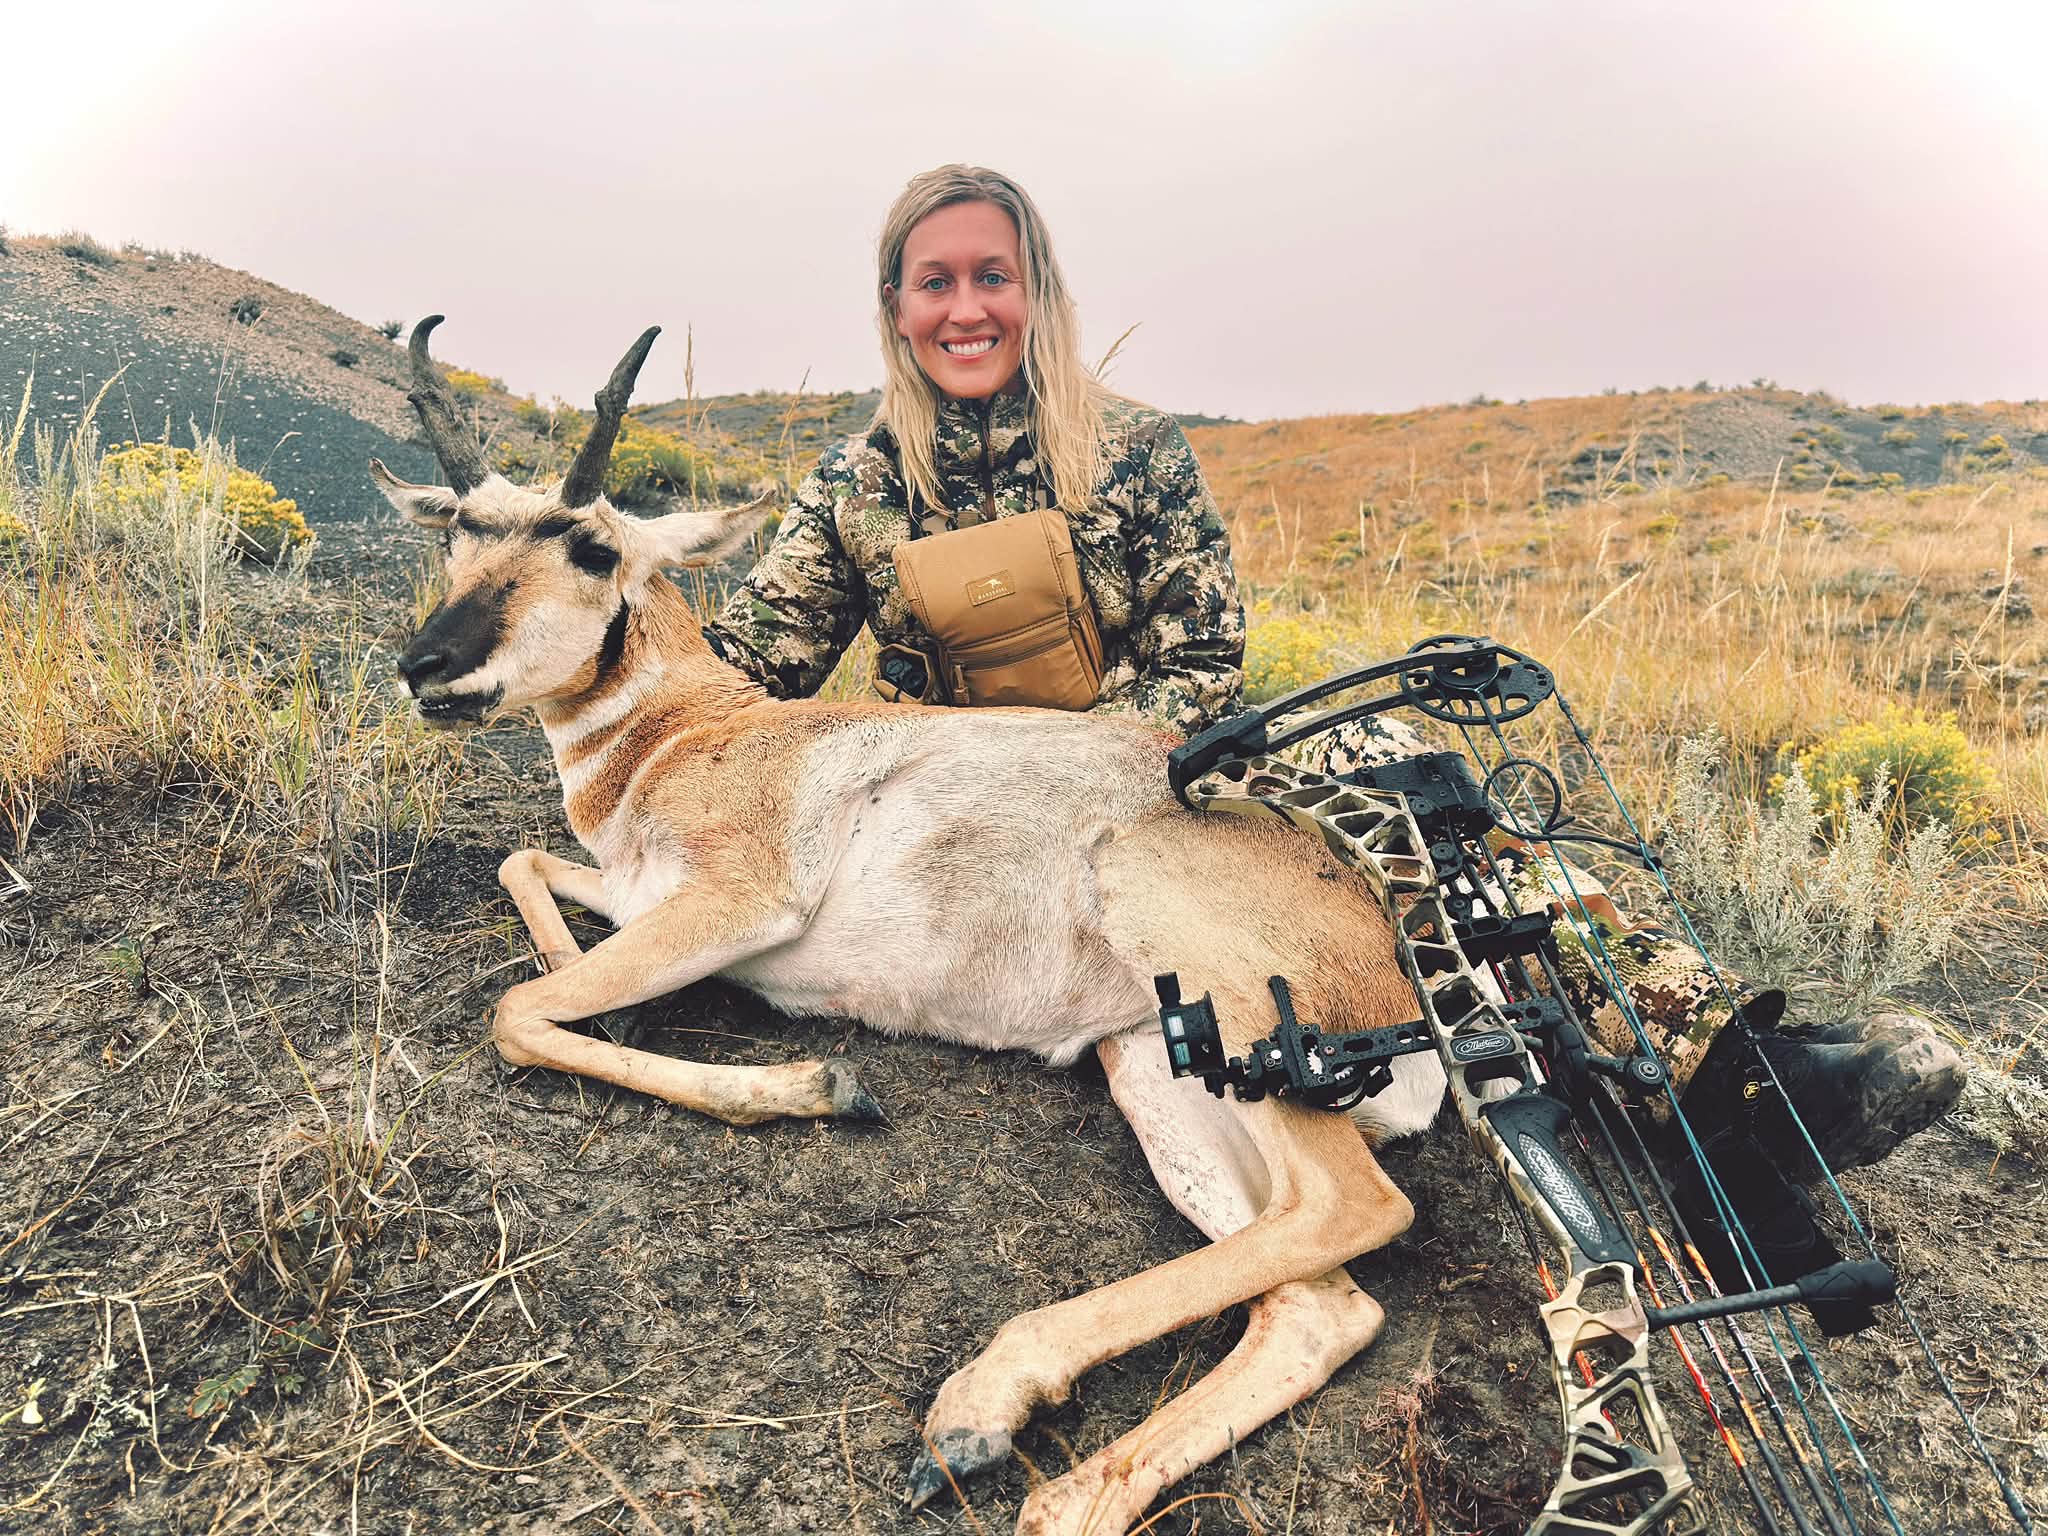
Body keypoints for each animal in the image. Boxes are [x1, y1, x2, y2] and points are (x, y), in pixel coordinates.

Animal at [372, 317, 1449, 1536]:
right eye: (456, 537)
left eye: (592, 548)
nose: (425, 667)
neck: (691, 729)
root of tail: (1383, 946)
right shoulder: (642, 899)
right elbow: (528, 875)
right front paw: (625, 1010)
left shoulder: (733, 905)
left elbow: (517, 1010)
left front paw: (816, 1085)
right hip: (1158, 1070)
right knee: (1317, 1302)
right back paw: (1043, 1484)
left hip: (1240, 1029)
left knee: (1353, 1204)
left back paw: (980, 1400)